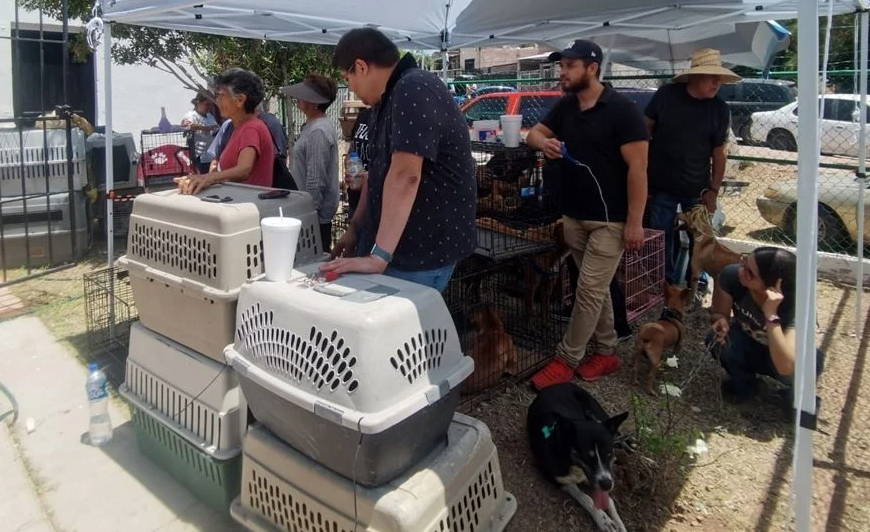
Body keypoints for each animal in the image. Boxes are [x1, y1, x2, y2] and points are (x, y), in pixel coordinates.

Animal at [528, 382, 632, 532]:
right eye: (587, 456)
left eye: (608, 453)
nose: (607, 485)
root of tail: (554, 385)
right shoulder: (559, 480)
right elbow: (586, 498)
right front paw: (604, 520)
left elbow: (608, 500)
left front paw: (618, 523)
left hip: (596, 412)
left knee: (616, 432)